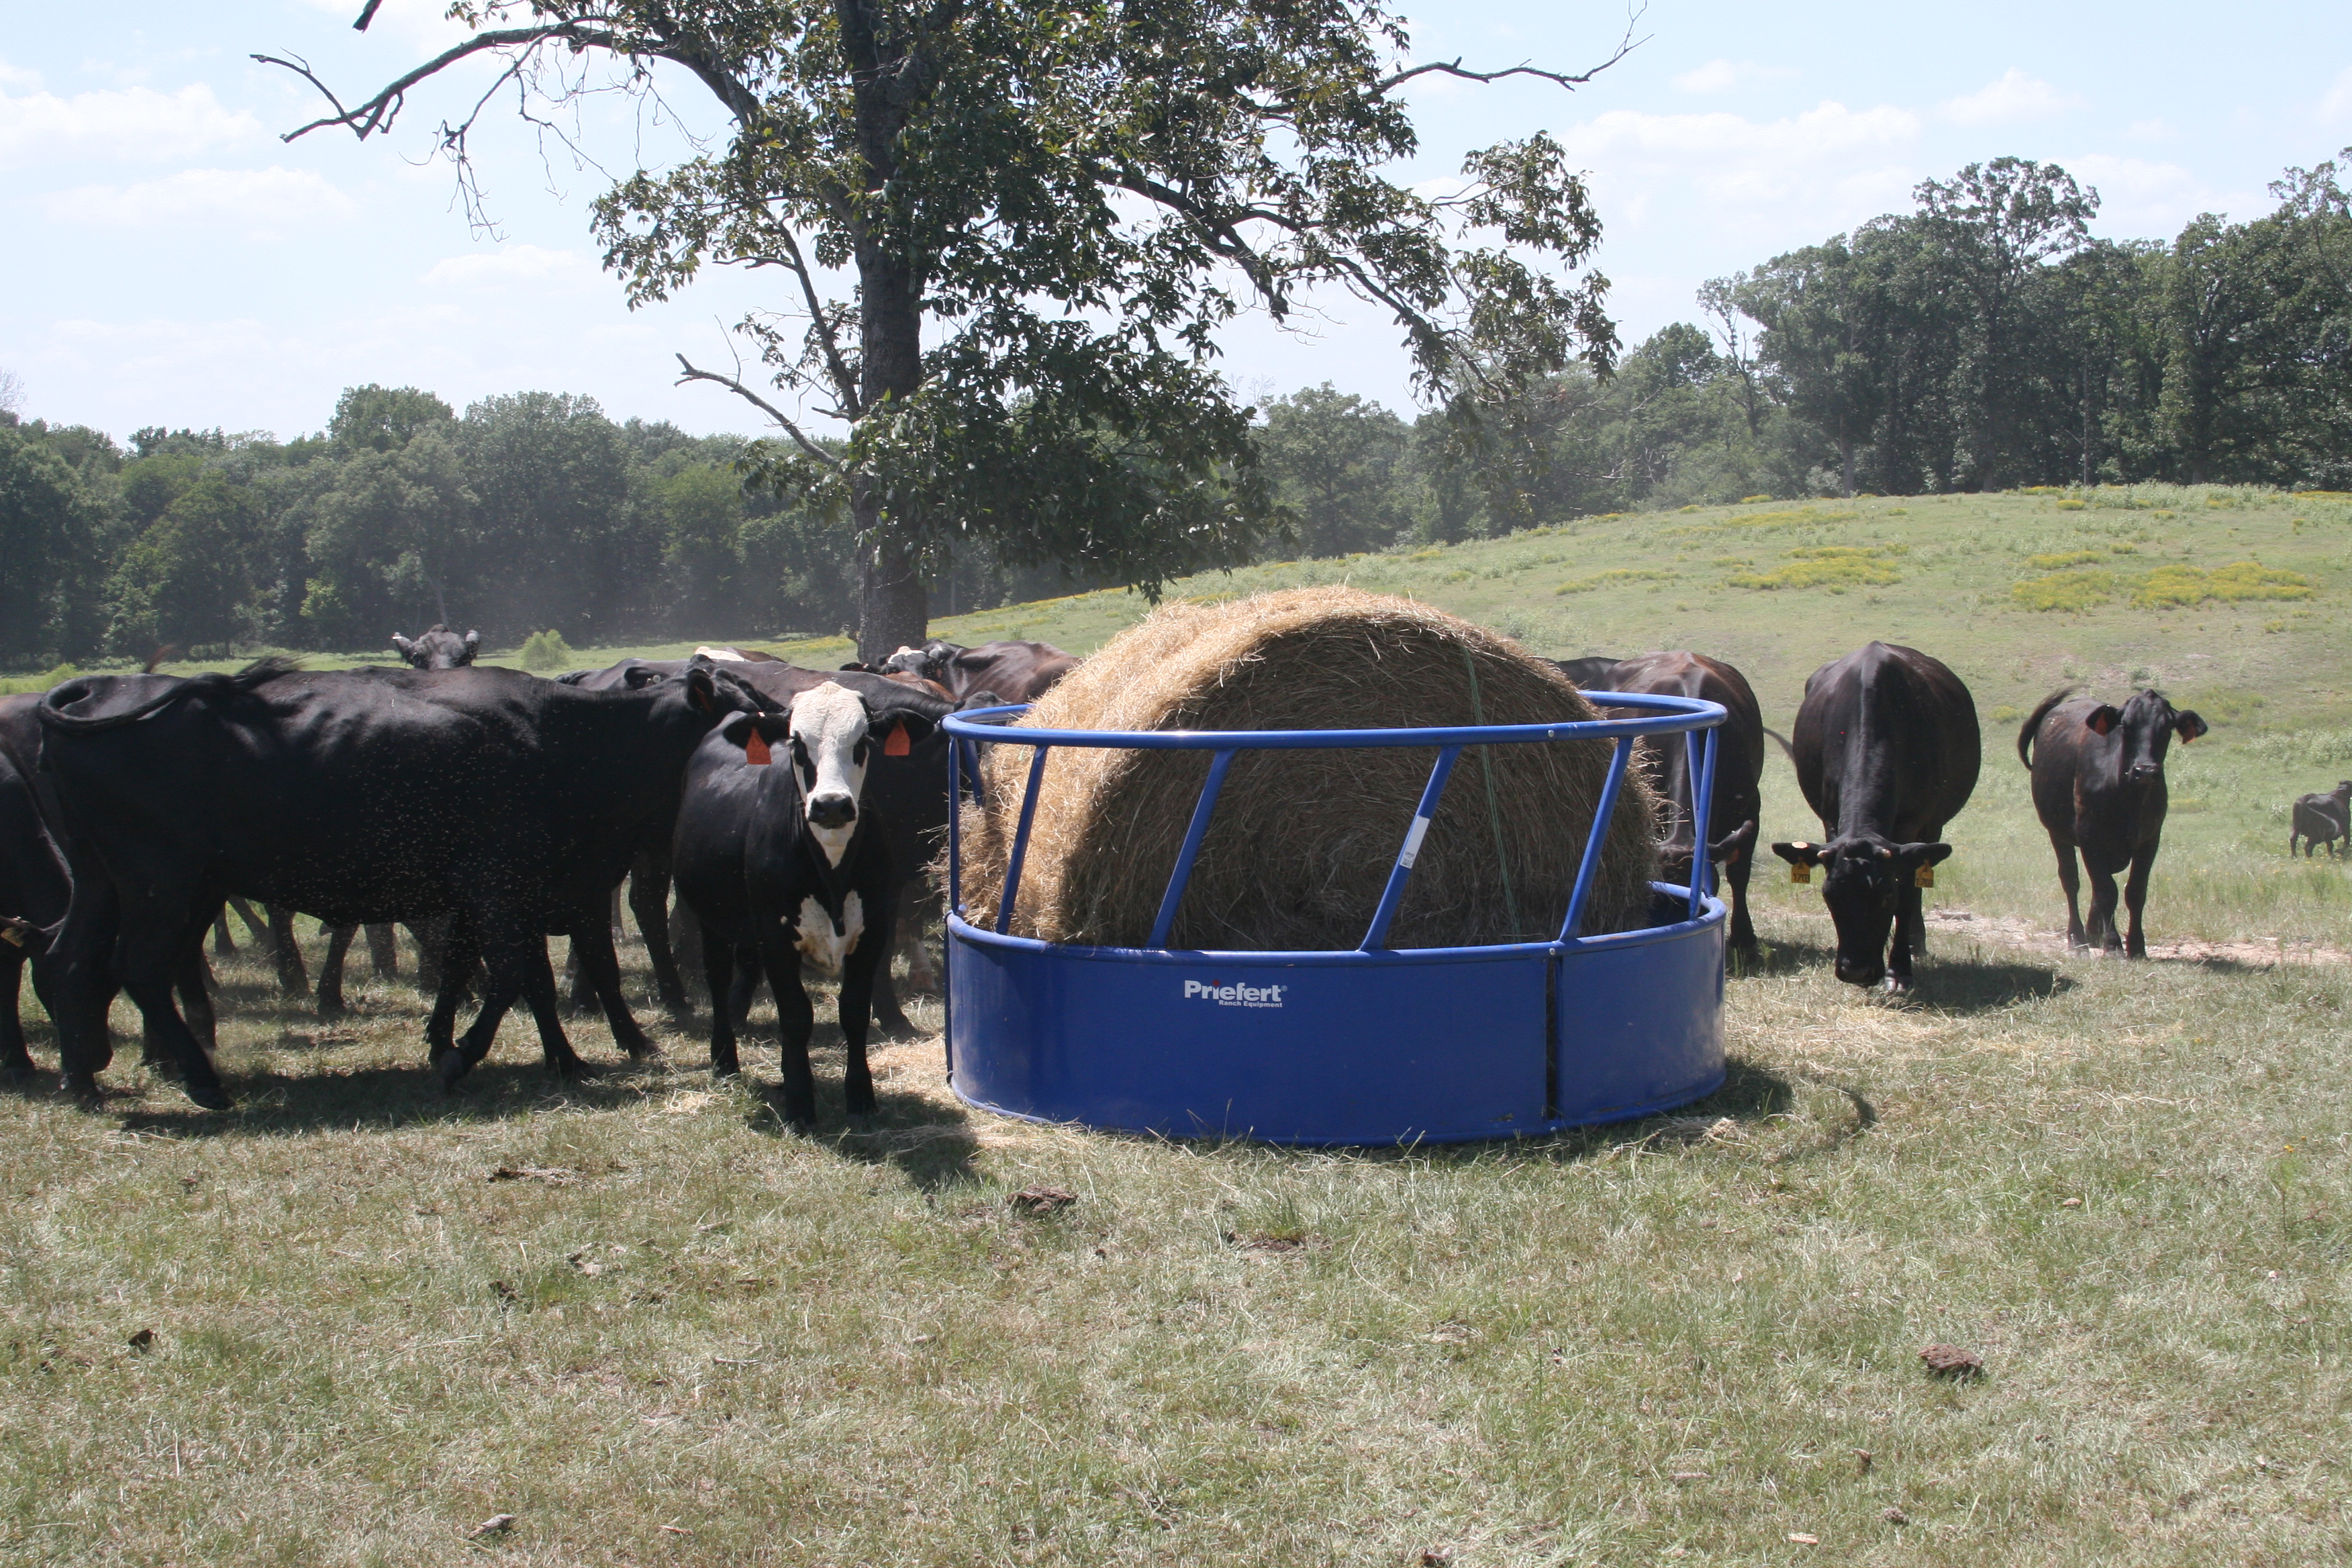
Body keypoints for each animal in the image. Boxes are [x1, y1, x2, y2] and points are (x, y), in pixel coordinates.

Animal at [34, 656, 765, 1108]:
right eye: (747, 710)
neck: (569, 738)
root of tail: (92, 692)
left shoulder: (500, 894)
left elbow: (497, 972)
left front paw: (544, 1052)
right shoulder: (503, 887)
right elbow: (519, 974)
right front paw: (468, 1056)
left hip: (111, 884)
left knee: (71, 961)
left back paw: (85, 1074)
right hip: (161, 884)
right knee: (141, 967)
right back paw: (199, 1082)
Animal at [671, 680, 942, 1126]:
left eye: (862, 741)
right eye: (797, 744)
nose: (832, 804)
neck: (831, 868)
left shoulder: (872, 931)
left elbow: (854, 1010)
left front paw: (861, 1096)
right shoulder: (776, 938)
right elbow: (796, 1016)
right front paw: (800, 1105)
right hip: (712, 921)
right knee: (718, 980)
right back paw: (724, 1060)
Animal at [1771, 643, 1980, 991]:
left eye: (1884, 895)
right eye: (1830, 896)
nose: (1855, 971)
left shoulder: (1913, 824)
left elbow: (1908, 892)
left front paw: (1900, 970)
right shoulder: (1831, 820)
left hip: (1933, 826)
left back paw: (1915, 942)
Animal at [2018, 687, 2208, 956]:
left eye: (2167, 728)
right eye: (2126, 725)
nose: (2145, 771)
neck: (2128, 799)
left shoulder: (2150, 839)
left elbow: (2135, 891)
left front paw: (2137, 946)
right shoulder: (2090, 838)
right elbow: (2107, 891)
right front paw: (2113, 945)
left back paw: (2093, 933)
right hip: (2057, 832)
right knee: (2071, 881)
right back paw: (2078, 940)